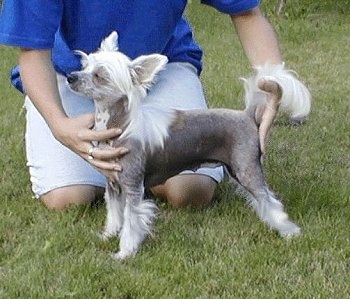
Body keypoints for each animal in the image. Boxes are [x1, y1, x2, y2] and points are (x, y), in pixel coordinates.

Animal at [67, 31, 312, 260]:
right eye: (85, 65)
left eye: (100, 75)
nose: (71, 77)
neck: (121, 126)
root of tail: (247, 114)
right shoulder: (114, 185)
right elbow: (114, 214)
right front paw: (108, 235)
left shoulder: (133, 187)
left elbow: (131, 222)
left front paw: (124, 253)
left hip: (246, 169)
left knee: (270, 200)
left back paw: (289, 231)